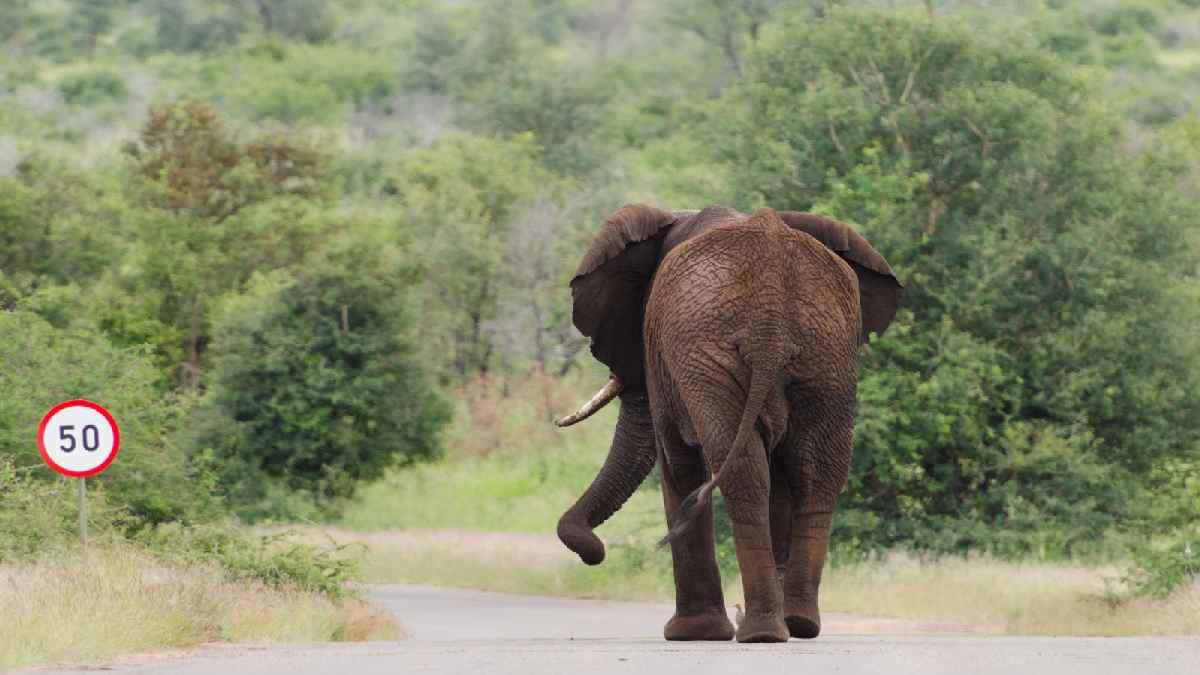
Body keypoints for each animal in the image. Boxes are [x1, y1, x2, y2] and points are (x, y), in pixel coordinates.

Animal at [552, 204, 902, 638]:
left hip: (714, 350)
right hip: (826, 353)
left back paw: (761, 633)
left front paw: (692, 633)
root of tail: (771, 301)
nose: (594, 553)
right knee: (816, 473)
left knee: (742, 474)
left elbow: (677, 463)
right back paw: (798, 624)